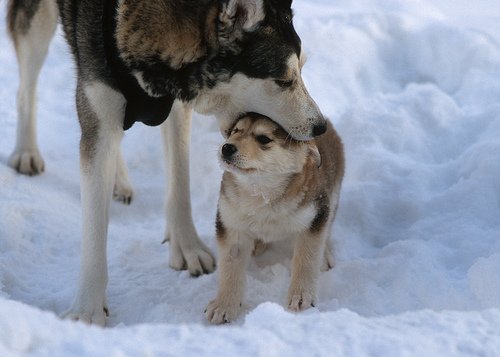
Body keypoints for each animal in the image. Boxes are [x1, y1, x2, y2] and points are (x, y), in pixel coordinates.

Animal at [8, 0, 328, 324]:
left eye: (302, 68)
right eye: (284, 80)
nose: (320, 127)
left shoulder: (176, 103)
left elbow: (179, 179)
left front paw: (186, 246)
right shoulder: (98, 100)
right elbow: (94, 225)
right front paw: (88, 310)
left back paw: (118, 180)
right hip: (37, 24)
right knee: (24, 88)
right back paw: (26, 151)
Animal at [206, 113, 344, 322]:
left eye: (264, 139)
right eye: (236, 131)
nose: (226, 147)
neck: (263, 194)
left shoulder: (313, 216)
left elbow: (306, 259)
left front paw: (301, 297)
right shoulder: (231, 222)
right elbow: (230, 268)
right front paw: (224, 305)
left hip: (333, 196)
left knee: (327, 227)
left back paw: (325, 255)